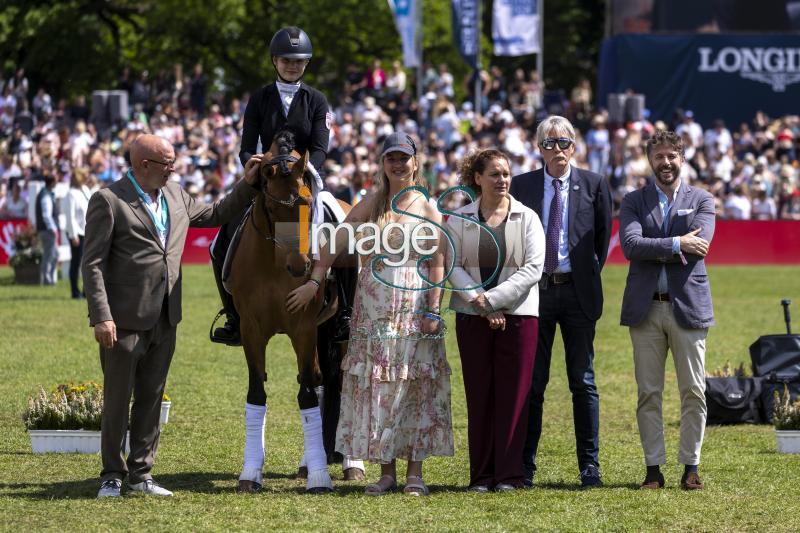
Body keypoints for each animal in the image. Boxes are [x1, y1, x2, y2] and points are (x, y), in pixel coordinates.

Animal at [227, 131, 360, 492]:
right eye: (272, 206)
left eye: (306, 202)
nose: (301, 266)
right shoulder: (252, 331)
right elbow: (257, 392)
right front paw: (251, 472)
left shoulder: (302, 328)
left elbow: (306, 396)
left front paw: (319, 477)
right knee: (321, 379)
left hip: (337, 331)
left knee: (340, 382)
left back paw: (350, 464)